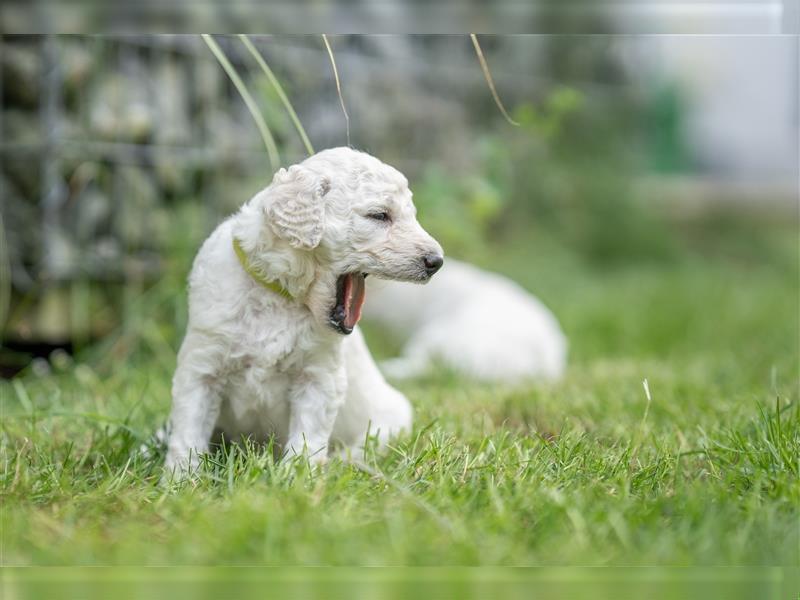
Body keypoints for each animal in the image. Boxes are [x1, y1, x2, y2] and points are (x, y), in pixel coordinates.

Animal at [164, 146, 444, 474]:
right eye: (379, 215)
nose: (436, 261)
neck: (280, 295)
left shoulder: (319, 378)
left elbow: (307, 438)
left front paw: (294, 477)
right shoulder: (202, 365)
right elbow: (188, 430)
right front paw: (181, 478)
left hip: (391, 421)